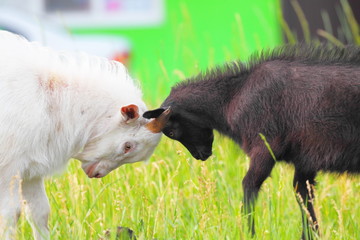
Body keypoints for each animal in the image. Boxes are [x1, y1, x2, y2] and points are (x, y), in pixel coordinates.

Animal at [0, 31, 168, 239]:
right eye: (127, 146)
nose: (96, 173)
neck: (55, 100)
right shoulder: (9, 168)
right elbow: (11, 214)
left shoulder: (31, 168)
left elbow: (39, 212)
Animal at [145, 44, 360, 238]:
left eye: (171, 131)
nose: (201, 155)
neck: (232, 97)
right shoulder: (305, 160)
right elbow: (303, 197)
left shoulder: (264, 147)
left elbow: (249, 186)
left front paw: (249, 233)